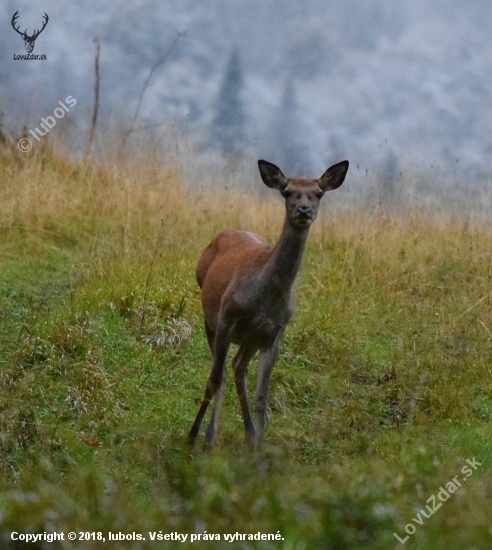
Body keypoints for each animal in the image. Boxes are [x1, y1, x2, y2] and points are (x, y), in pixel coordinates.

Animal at [186, 157, 348, 450]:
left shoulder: (274, 333)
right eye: (287, 191)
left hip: (250, 338)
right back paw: (207, 436)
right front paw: (197, 438)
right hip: (211, 319)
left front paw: (259, 450)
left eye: (318, 193)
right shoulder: (227, 318)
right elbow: (214, 380)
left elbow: (262, 397)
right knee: (222, 373)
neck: (266, 297)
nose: (304, 210)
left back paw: (249, 435)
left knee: (238, 368)